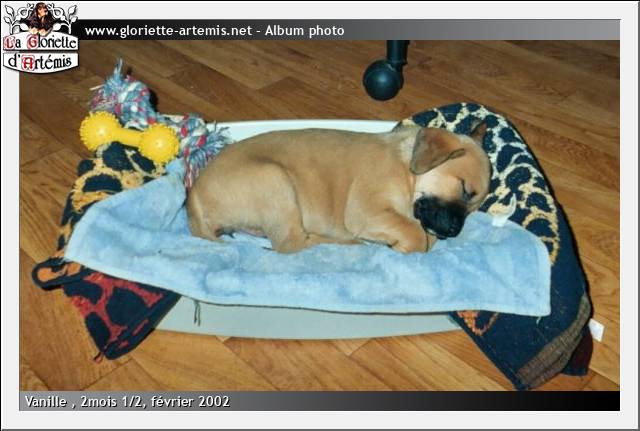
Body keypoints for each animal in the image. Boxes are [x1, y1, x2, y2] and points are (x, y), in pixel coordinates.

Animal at [187, 121, 491, 254]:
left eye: (474, 208)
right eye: (464, 189)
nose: (454, 231)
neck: (407, 170)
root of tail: (194, 200)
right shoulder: (367, 209)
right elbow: (416, 234)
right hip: (274, 178)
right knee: (290, 245)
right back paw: (349, 243)